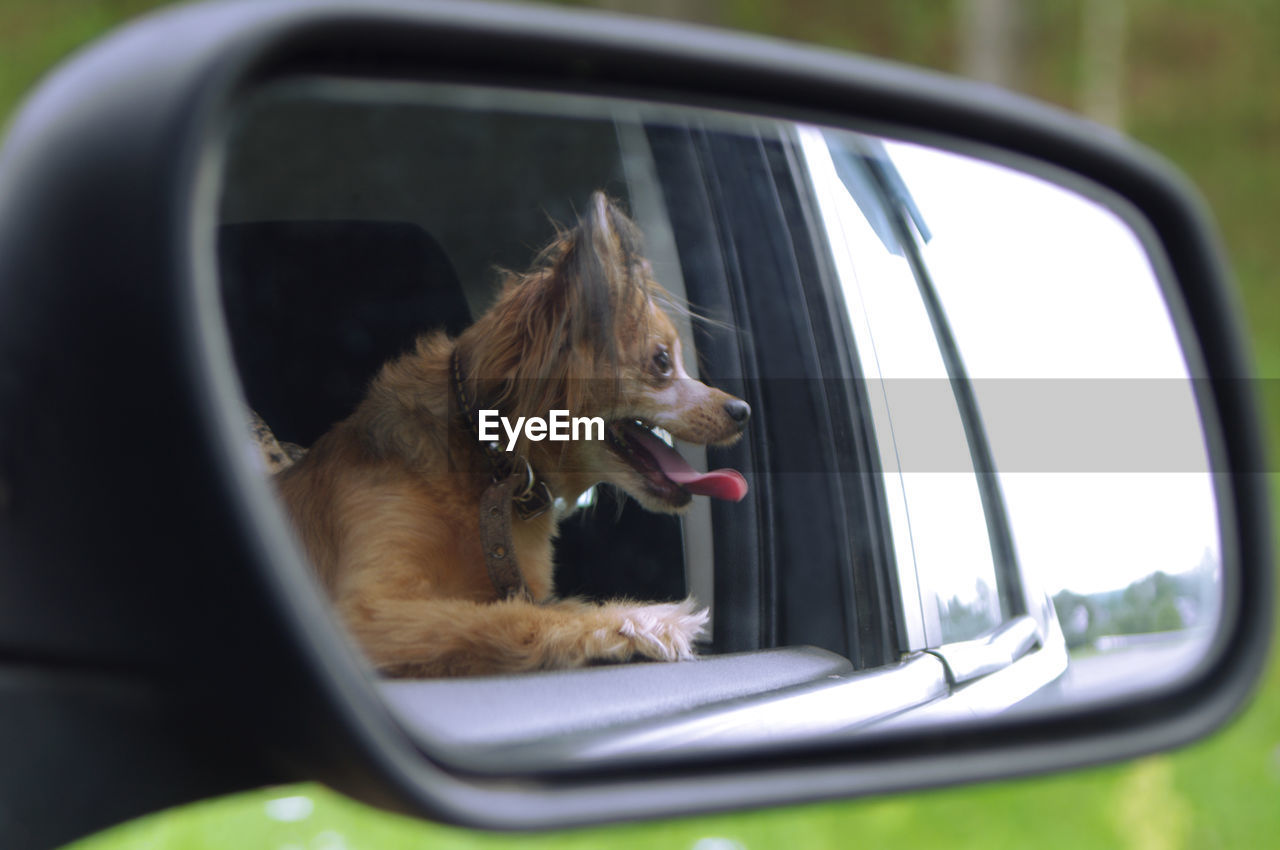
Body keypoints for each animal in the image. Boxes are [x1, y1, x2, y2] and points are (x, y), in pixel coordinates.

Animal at [271, 194, 747, 675]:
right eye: (662, 362)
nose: (743, 411)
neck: (487, 457)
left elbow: (531, 607)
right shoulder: (366, 611)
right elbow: (508, 618)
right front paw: (638, 621)